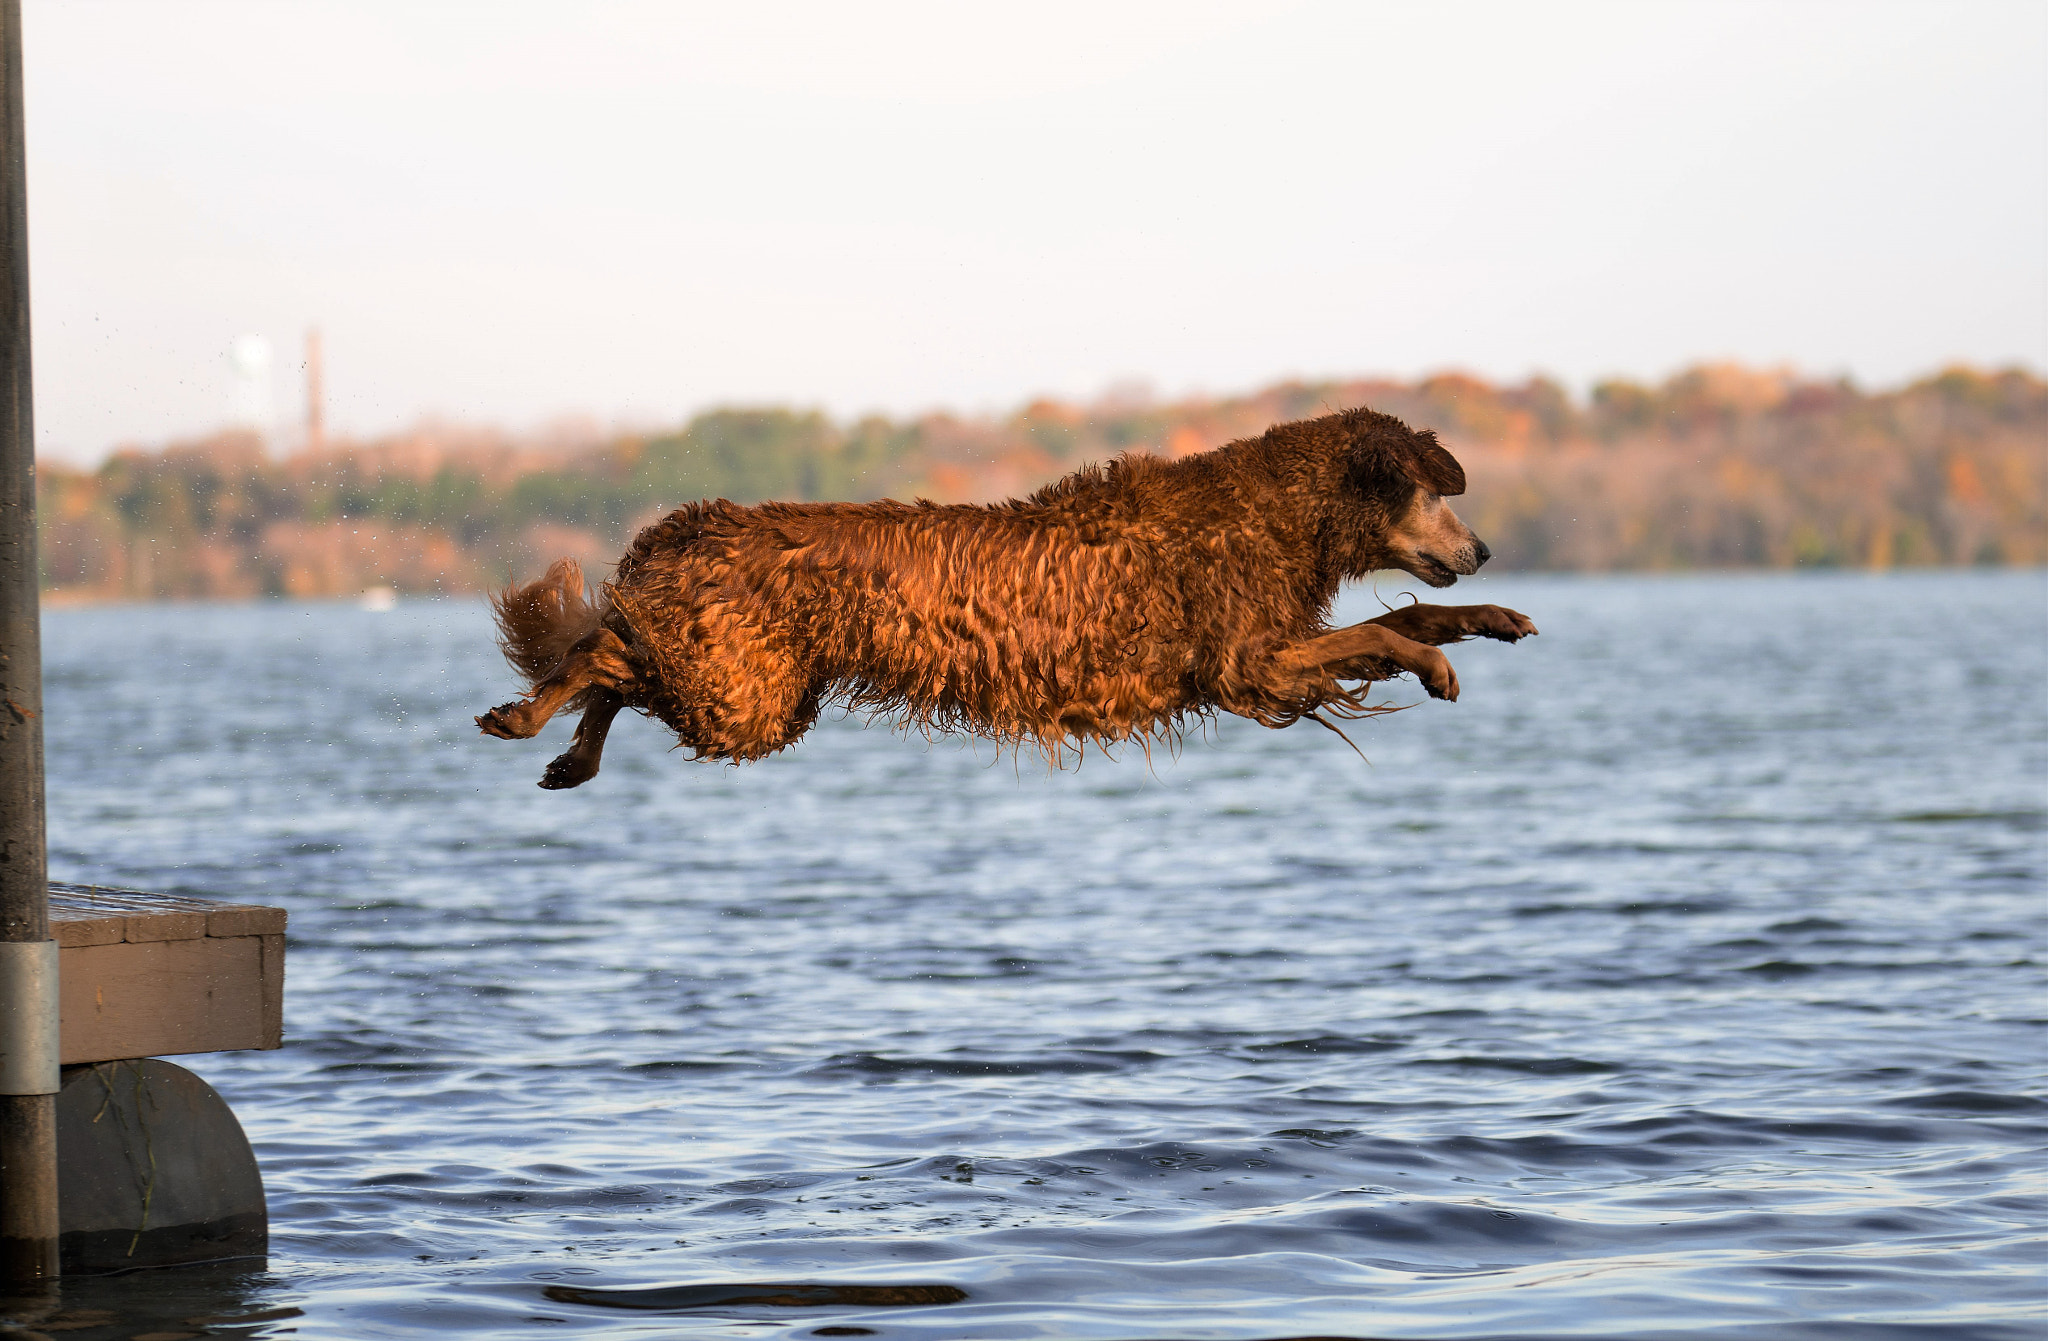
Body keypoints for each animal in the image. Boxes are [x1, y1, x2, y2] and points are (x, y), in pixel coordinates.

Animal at [483, 409, 1540, 786]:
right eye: (1435, 490)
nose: (1485, 548)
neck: (1274, 509)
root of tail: (681, 526)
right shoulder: (1251, 664)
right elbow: (1389, 631)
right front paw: (1439, 663)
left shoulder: (1266, 661)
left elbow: (1405, 614)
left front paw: (1490, 621)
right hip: (741, 694)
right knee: (602, 652)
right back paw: (531, 721)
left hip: (754, 691)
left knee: (618, 659)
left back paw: (569, 755)